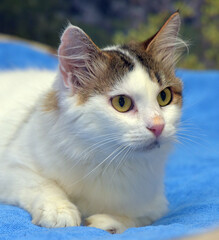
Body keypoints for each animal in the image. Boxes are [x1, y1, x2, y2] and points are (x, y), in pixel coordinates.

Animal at [0, 11, 186, 234]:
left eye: (164, 97)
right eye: (122, 103)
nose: (158, 126)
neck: (109, 161)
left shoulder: (156, 204)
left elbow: (139, 219)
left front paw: (109, 221)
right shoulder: (10, 167)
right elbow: (43, 184)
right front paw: (60, 211)